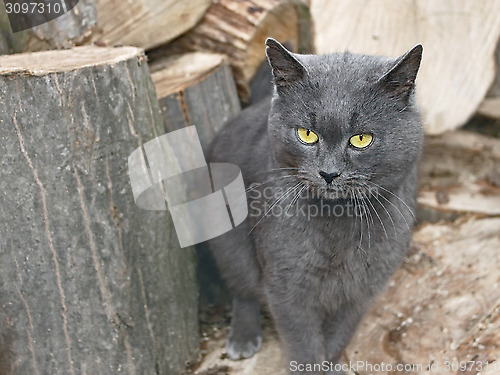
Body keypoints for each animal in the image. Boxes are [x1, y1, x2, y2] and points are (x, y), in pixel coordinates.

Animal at [207, 39, 422, 374]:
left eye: (362, 139)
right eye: (307, 134)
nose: (329, 172)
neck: (339, 221)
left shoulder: (363, 289)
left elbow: (337, 337)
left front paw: (331, 366)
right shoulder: (287, 285)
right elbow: (304, 345)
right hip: (229, 245)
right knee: (242, 290)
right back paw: (243, 338)